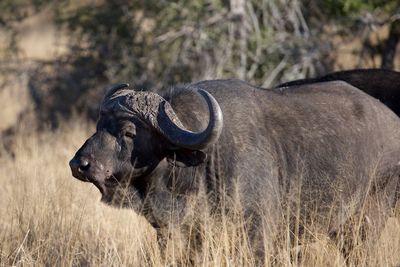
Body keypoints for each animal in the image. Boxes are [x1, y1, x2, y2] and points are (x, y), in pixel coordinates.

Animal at [69, 80, 400, 262]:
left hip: (365, 222)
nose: (79, 164)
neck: (201, 163)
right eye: (98, 126)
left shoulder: (258, 235)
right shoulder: (181, 235)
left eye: (128, 132)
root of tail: (392, 122)